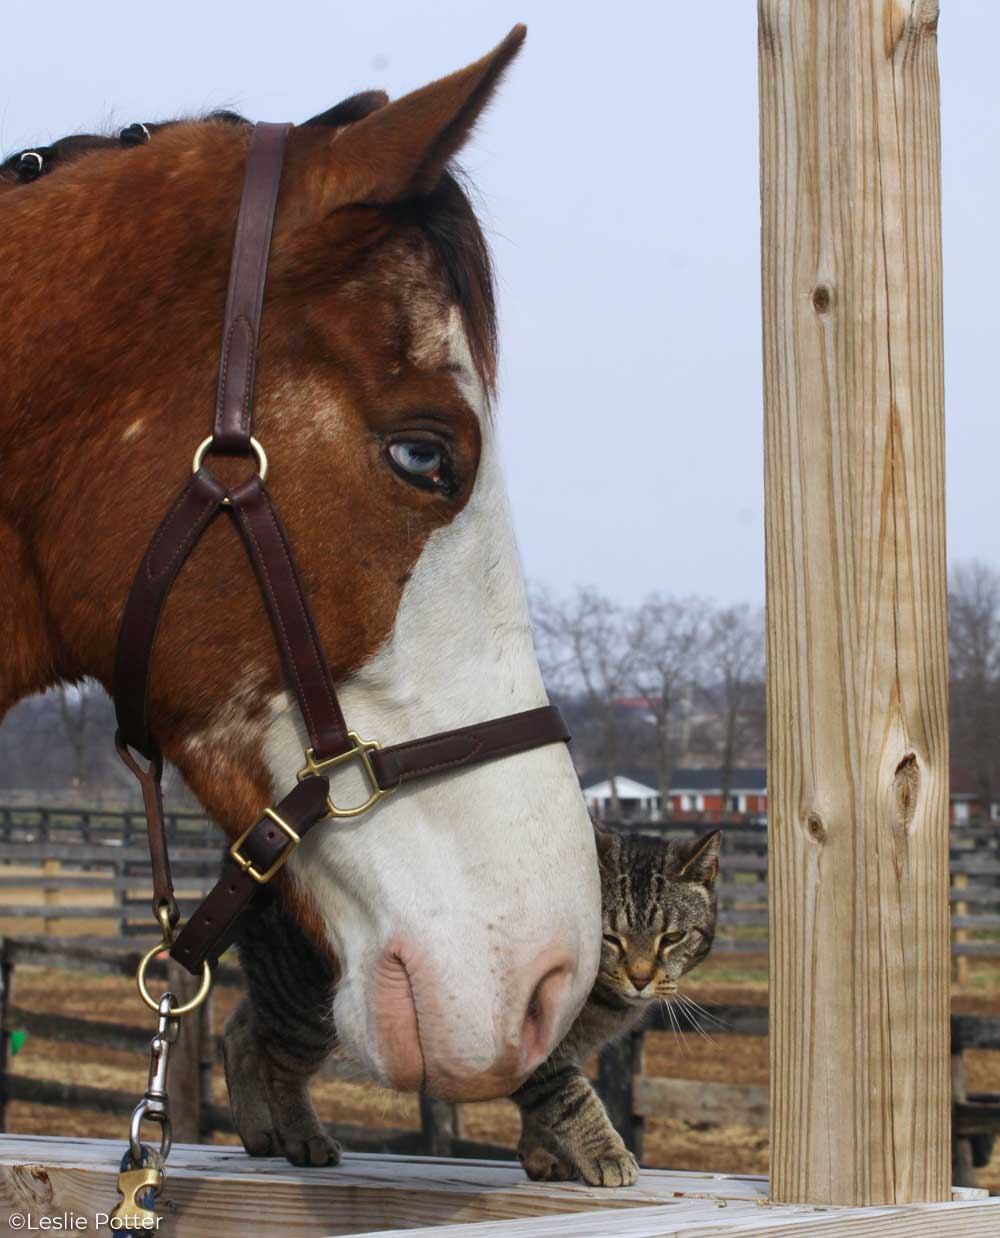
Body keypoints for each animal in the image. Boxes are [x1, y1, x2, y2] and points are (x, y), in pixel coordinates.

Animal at [514, 826, 717, 1183]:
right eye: (608, 937)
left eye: (671, 938)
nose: (639, 978)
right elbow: (571, 1098)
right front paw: (606, 1152)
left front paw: (540, 1154)